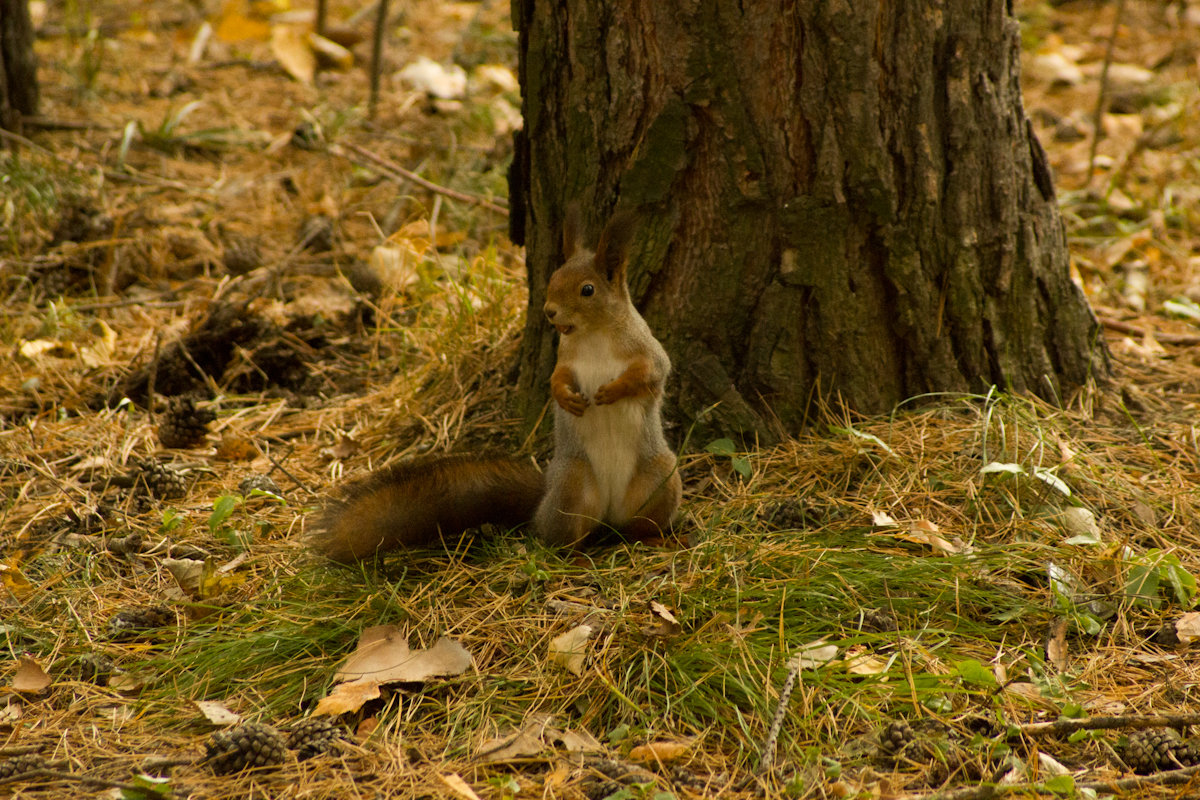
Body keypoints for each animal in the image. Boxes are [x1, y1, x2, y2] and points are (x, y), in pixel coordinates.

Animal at [307, 209, 686, 566]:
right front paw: (566, 398)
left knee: (637, 526)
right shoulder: (565, 359)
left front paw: (612, 390)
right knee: (559, 538)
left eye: (587, 290)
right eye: (553, 278)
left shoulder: (649, 352)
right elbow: (556, 379)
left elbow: (652, 374)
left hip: (661, 477)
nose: (549, 312)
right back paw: (575, 554)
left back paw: (657, 540)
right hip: (572, 482)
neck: (593, 334)